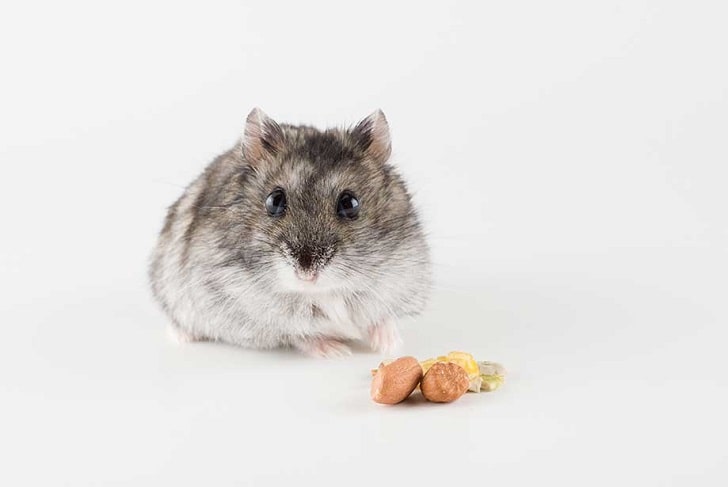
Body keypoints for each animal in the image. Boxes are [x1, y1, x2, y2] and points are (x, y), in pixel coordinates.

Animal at [149, 108, 431, 357]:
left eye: (350, 203)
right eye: (274, 201)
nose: (307, 273)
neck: (320, 291)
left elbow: (381, 317)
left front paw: (389, 344)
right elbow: (300, 333)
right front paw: (336, 352)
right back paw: (181, 336)